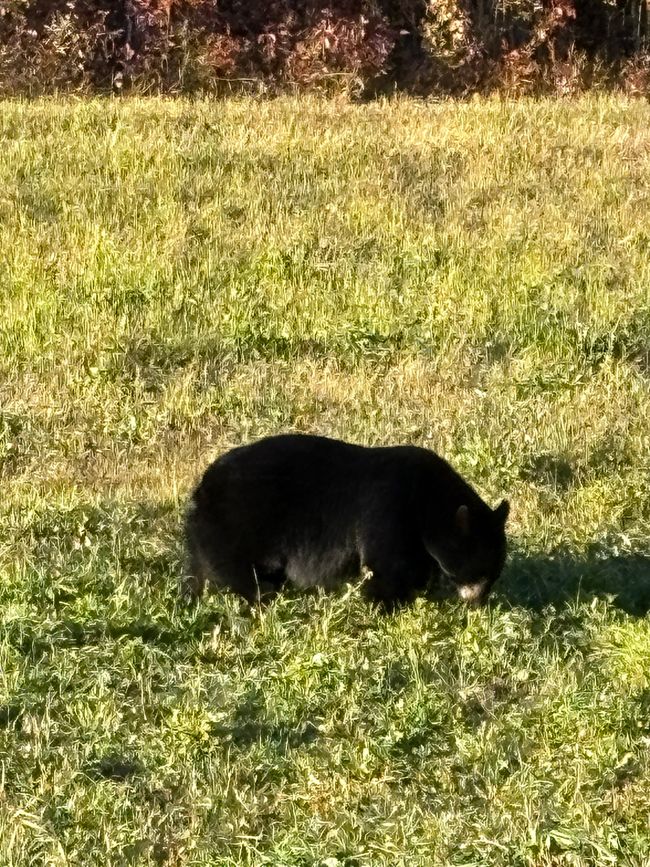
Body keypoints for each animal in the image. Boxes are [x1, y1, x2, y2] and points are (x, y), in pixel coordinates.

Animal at [184, 433, 510, 609]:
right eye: (479, 571)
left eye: (495, 574)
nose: (479, 603)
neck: (427, 501)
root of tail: (200, 491)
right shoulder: (389, 510)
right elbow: (385, 566)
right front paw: (386, 603)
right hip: (239, 523)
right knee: (236, 568)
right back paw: (261, 593)